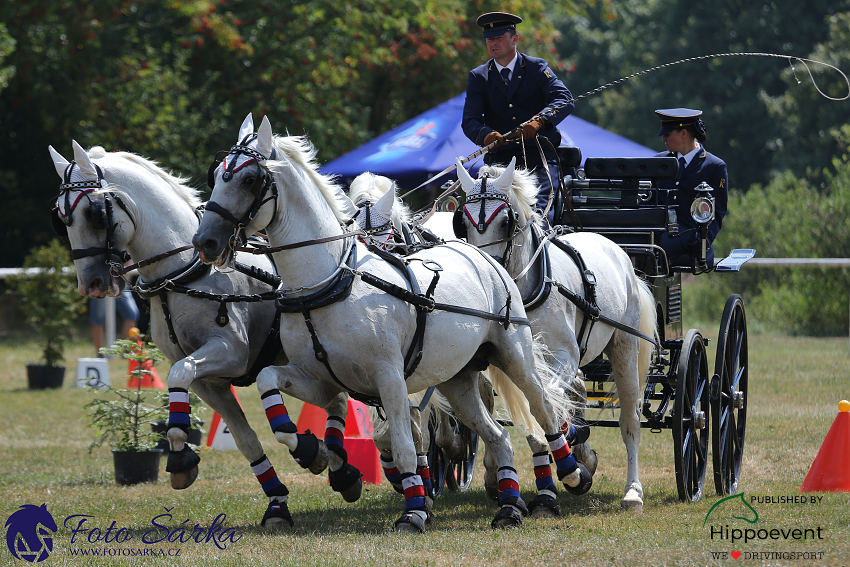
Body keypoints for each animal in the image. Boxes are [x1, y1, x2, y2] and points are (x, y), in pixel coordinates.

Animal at [48, 141, 362, 528]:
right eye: (61, 218)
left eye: (94, 213)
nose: (90, 284)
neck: (183, 273)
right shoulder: (209, 381)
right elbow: (244, 438)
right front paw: (275, 500)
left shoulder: (230, 353)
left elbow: (178, 373)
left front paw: (181, 457)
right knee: (337, 399)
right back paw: (339, 468)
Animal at [190, 114, 584, 532]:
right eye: (217, 173)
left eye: (250, 179)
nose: (205, 241)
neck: (327, 283)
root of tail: (481, 255)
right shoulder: (319, 378)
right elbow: (270, 388)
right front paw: (312, 451)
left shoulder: (390, 378)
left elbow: (406, 446)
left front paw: (414, 511)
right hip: (456, 379)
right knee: (497, 437)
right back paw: (509, 505)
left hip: (514, 355)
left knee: (543, 409)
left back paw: (569, 473)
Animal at [450, 158, 656, 512]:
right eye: (462, 221)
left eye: (506, 220)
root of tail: (617, 249)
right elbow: (535, 416)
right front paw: (548, 489)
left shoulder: (564, 356)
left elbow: (544, 403)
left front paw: (570, 461)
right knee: (574, 394)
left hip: (624, 347)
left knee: (630, 420)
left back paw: (632, 491)